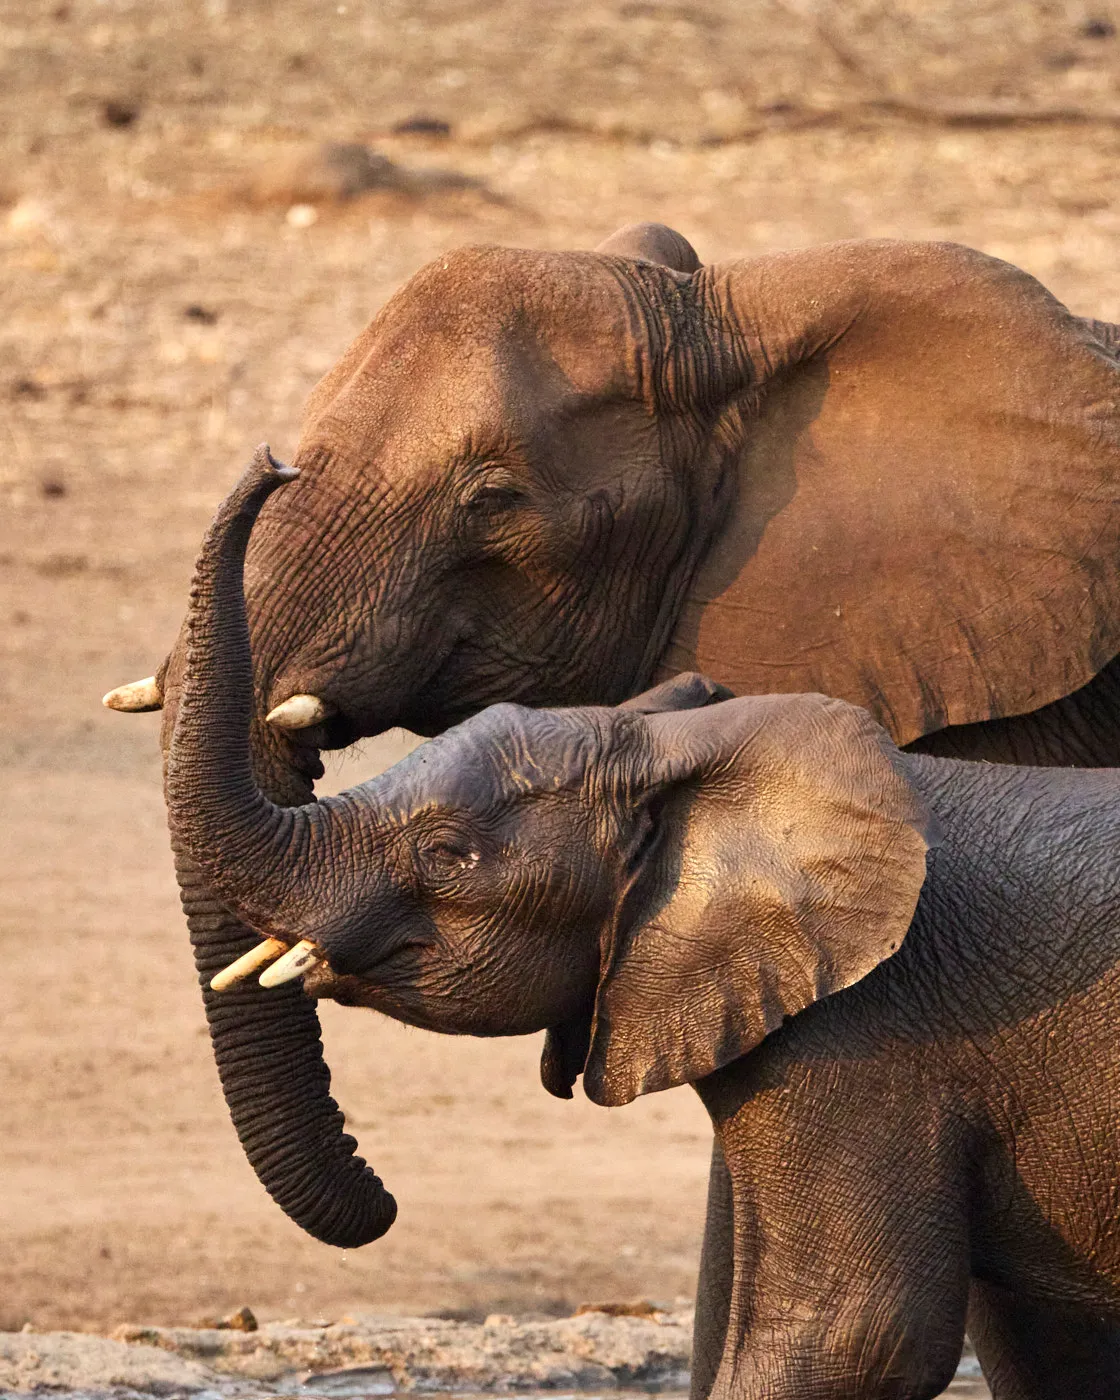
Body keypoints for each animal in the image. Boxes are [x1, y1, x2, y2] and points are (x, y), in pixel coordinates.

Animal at [166, 454, 1120, 1400]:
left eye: (445, 854)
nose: (278, 464)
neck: (694, 750)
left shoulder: (872, 1040)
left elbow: (859, 1338)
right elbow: (1042, 1348)